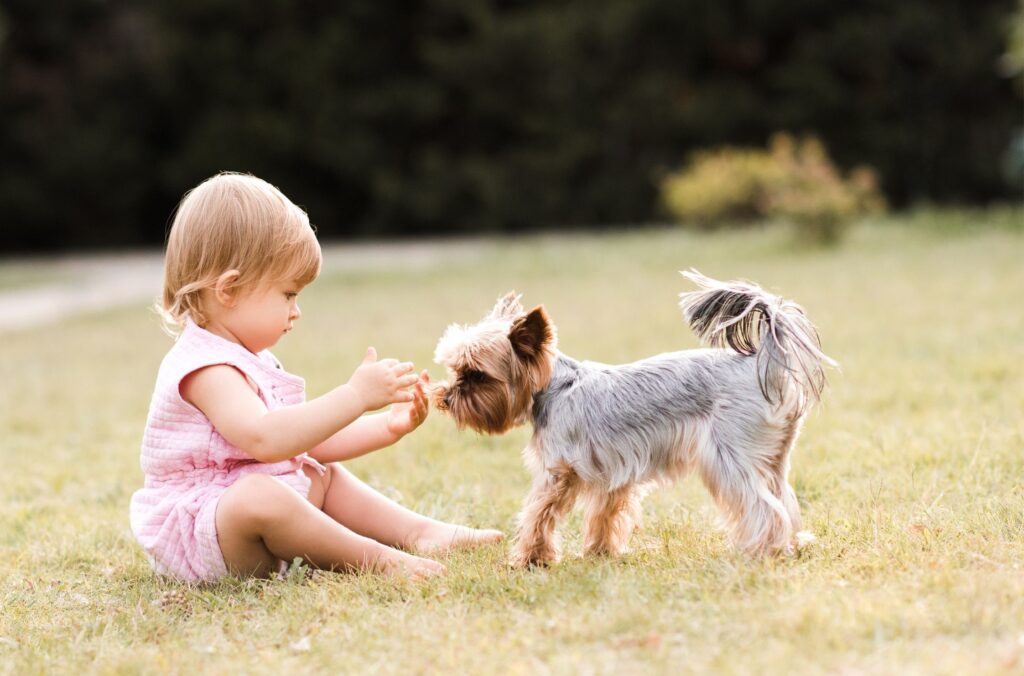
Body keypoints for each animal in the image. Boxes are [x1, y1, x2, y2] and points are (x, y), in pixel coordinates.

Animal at [428, 268, 835, 565]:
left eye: (476, 374)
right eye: (456, 369)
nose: (445, 397)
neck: (554, 387)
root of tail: (762, 364)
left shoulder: (556, 473)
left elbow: (537, 516)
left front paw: (529, 559)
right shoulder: (614, 472)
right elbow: (605, 515)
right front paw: (599, 553)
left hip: (728, 457)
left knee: (763, 506)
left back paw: (765, 551)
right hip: (772, 458)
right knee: (783, 498)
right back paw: (793, 543)